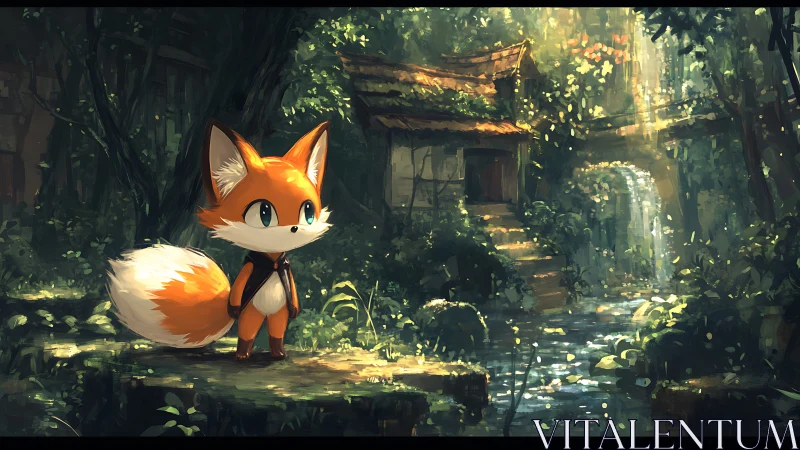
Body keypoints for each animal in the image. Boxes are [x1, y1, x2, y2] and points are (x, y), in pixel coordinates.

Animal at [107, 120, 332, 360]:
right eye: (264, 213)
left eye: (308, 211)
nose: (294, 228)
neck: (271, 263)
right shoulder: (251, 267)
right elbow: (240, 289)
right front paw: (233, 311)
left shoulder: (285, 268)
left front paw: (295, 311)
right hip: (252, 311)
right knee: (248, 331)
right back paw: (242, 355)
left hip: (278, 313)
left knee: (276, 331)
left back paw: (278, 353)